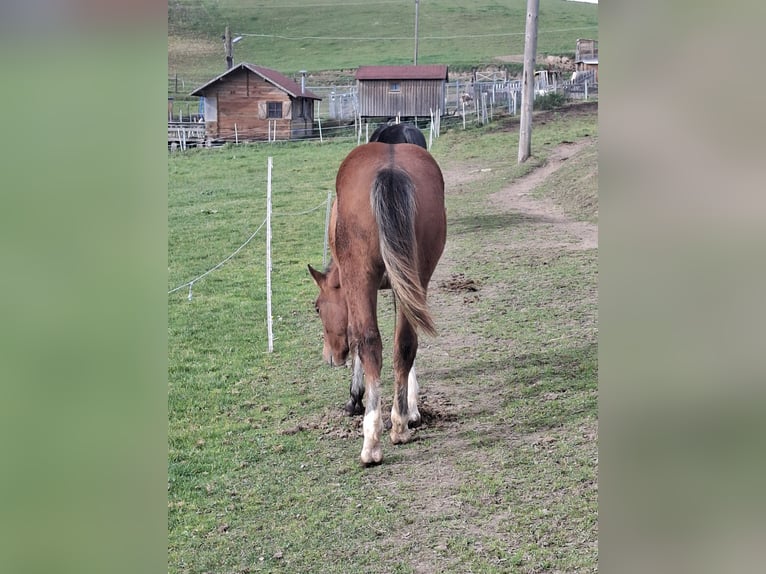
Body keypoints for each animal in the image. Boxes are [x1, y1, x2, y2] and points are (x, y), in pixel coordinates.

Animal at [308, 142, 446, 465]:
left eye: (317, 307)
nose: (329, 357)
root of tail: (390, 168)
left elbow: (357, 339)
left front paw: (354, 397)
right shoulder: (405, 285)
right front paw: (411, 408)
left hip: (362, 276)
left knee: (370, 341)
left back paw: (371, 442)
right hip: (417, 272)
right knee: (406, 342)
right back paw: (399, 426)